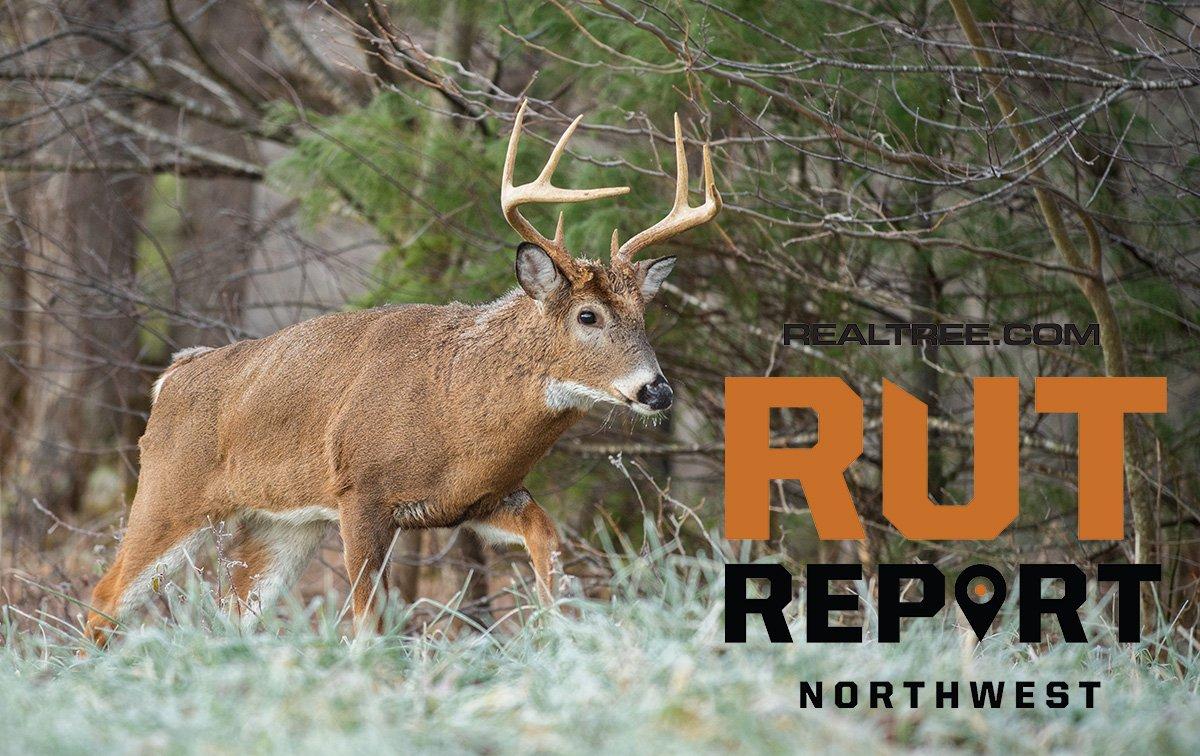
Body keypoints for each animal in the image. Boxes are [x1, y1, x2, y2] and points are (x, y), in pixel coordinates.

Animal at [83, 100, 720, 647]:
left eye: (644, 315)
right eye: (588, 315)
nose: (657, 390)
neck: (459, 410)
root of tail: (171, 376)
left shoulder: (480, 498)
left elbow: (549, 542)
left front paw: (555, 625)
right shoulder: (361, 492)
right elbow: (370, 622)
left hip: (280, 522)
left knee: (231, 611)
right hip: (170, 492)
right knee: (104, 598)